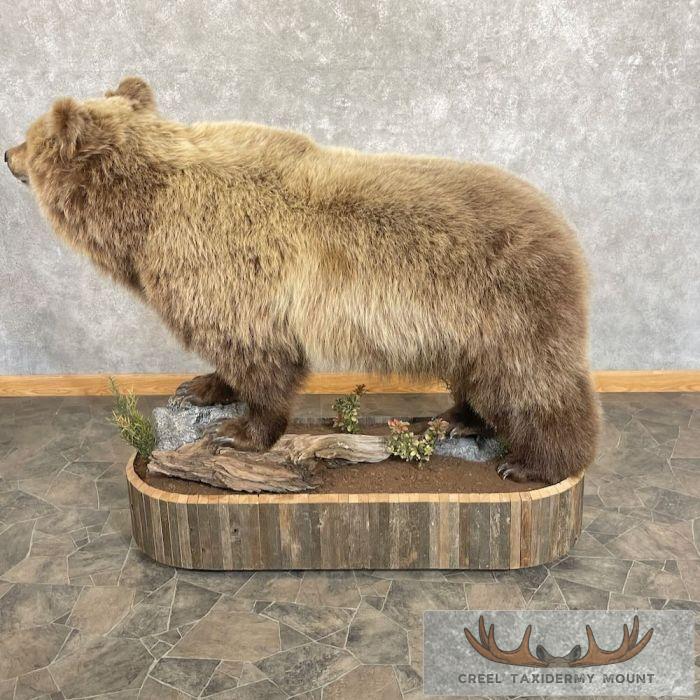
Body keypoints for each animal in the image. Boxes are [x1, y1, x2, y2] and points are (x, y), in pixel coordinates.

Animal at [5, 77, 600, 484]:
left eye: (30, 137)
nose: (7, 153)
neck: (145, 212)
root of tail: (564, 232)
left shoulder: (224, 265)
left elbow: (260, 355)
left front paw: (238, 432)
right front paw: (202, 386)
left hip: (505, 304)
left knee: (532, 383)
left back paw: (534, 464)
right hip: (467, 326)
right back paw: (457, 419)